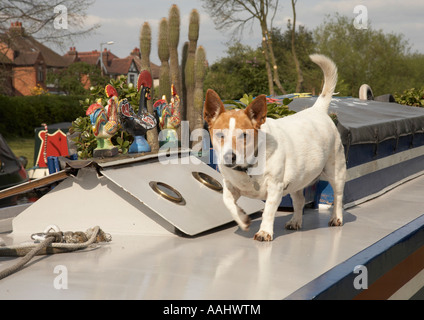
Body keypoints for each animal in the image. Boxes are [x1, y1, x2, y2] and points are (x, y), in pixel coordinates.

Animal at [204, 53, 346, 241]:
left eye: (244, 136)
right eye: (220, 135)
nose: (229, 157)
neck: (248, 168)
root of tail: (317, 109)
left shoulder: (275, 187)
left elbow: (268, 211)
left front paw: (264, 231)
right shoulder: (230, 186)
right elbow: (227, 201)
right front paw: (242, 219)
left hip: (335, 172)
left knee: (338, 196)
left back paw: (336, 217)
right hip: (297, 180)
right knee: (299, 201)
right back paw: (295, 221)